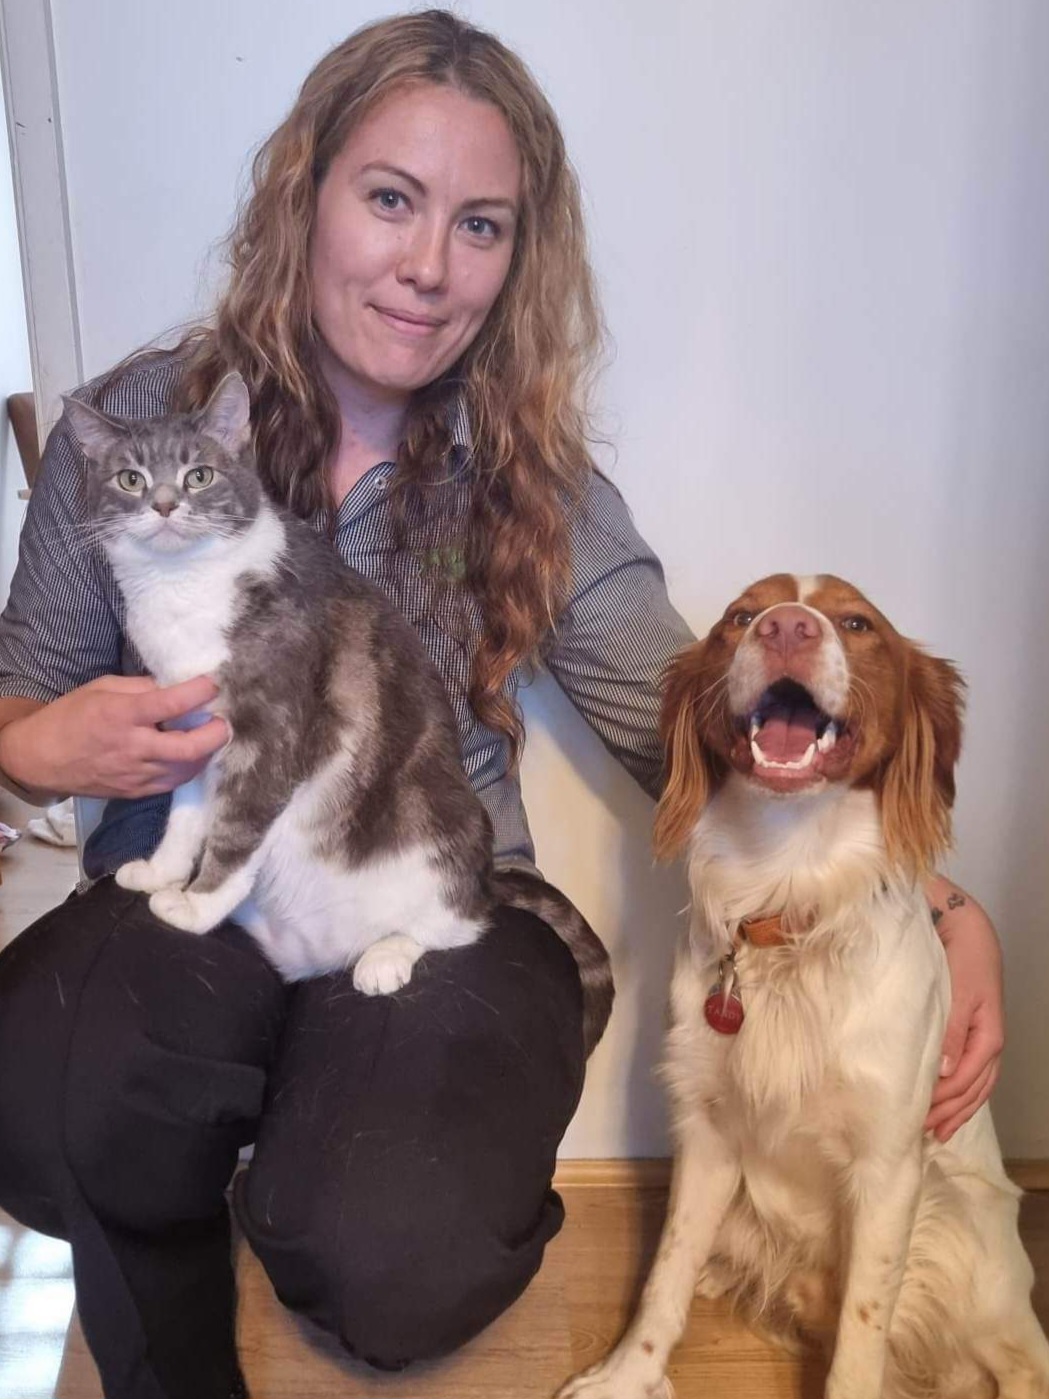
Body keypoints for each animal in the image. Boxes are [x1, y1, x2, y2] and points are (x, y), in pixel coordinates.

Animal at [63, 371, 613, 1053]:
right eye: (130, 479)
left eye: (200, 475)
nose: (164, 504)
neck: (184, 588)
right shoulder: (194, 734)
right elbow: (187, 817)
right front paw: (161, 873)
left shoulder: (275, 735)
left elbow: (235, 833)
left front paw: (195, 907)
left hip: (444, 838)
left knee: (458, 923)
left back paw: (385, 956)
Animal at [558, 574, 1049, 1399]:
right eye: (739, 616)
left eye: (856, 624)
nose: (786, 627)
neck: (786, 891)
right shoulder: (707, 1127)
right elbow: (664, 1272)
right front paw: (628, 1373)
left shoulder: (889, 1167)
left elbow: (862, 1328)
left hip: (956, 1218)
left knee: (1016, 1357)